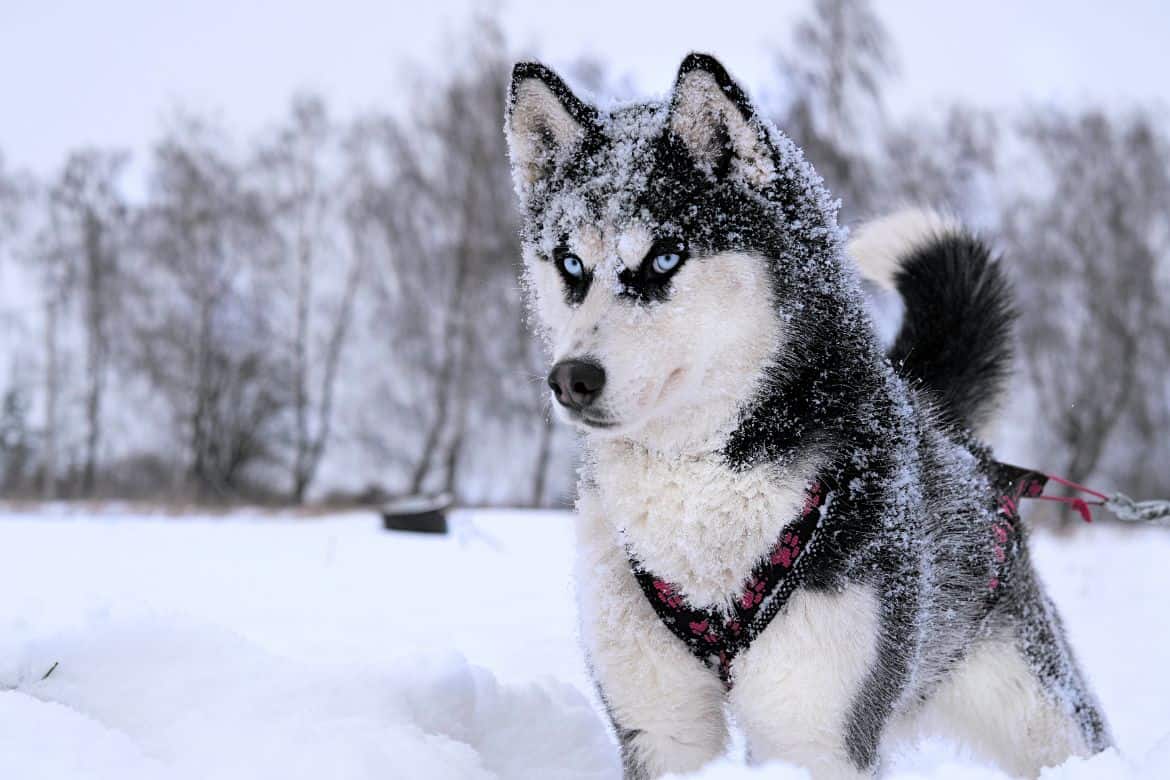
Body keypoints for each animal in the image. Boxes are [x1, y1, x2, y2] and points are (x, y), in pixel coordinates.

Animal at [503, 54, 1104, 780]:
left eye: (664, 257)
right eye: (571, 263)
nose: (572, 379)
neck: (699, 487)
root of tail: (941, 420)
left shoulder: (815, 733)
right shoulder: (661, 729)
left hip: (1037, 708)